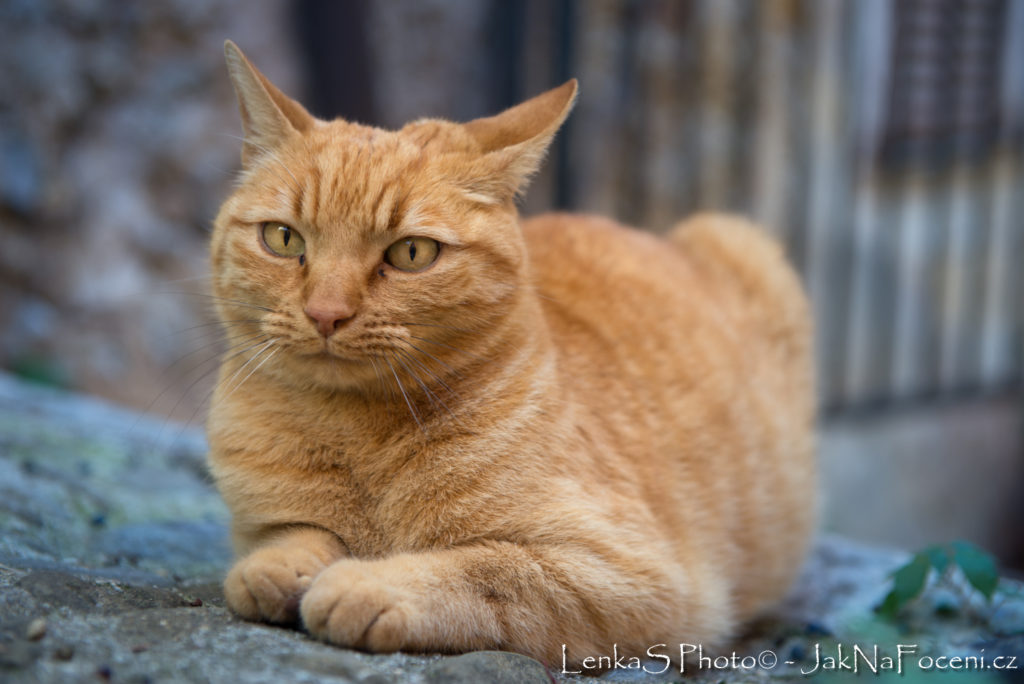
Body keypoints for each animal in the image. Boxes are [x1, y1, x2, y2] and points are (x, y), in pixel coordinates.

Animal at [207, 40, 815, 663]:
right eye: (283, 239)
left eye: (411, 253)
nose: (326, 313)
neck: (358, 436)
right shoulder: (266, 521)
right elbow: (291, 536)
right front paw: (278, 569)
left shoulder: (629, 574)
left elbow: (488, 569)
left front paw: (366, 584)